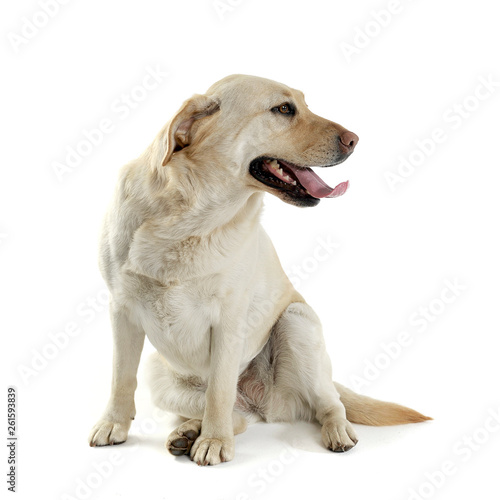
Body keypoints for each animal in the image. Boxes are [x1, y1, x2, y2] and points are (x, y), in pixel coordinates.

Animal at [89, 74, 430, 464]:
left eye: (303, 104)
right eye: (283, 109)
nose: (354, 139)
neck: (190, 216)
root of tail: (260, 403)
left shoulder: (229, 319)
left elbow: (219, 391)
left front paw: (214, 442)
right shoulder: (121, 310)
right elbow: (120, 378)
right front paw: (113, 425)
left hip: (297, 322)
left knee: (327, 403)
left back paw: (334, 430)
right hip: (160, 374)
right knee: (237, 417)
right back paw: (187, 432)